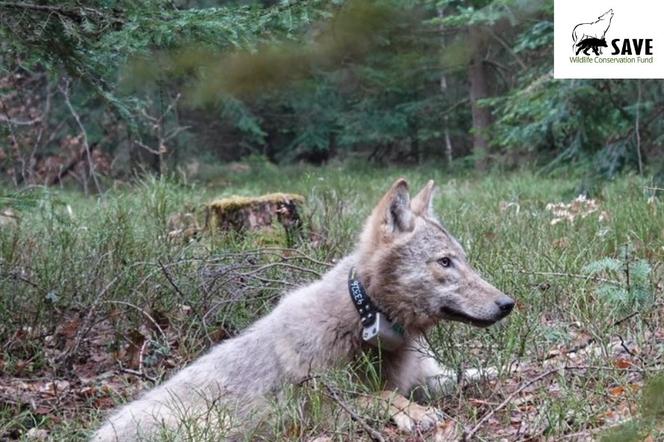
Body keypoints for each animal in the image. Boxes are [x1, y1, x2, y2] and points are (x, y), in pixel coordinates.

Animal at [93, 178, 516, 440]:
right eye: (445, 262)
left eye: (464, 260)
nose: (508, 304)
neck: (366, 317)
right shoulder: (318, 406)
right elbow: (380, 396)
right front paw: (414, 412)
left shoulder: (428, 378)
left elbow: (475, 371)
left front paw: (522, 366)